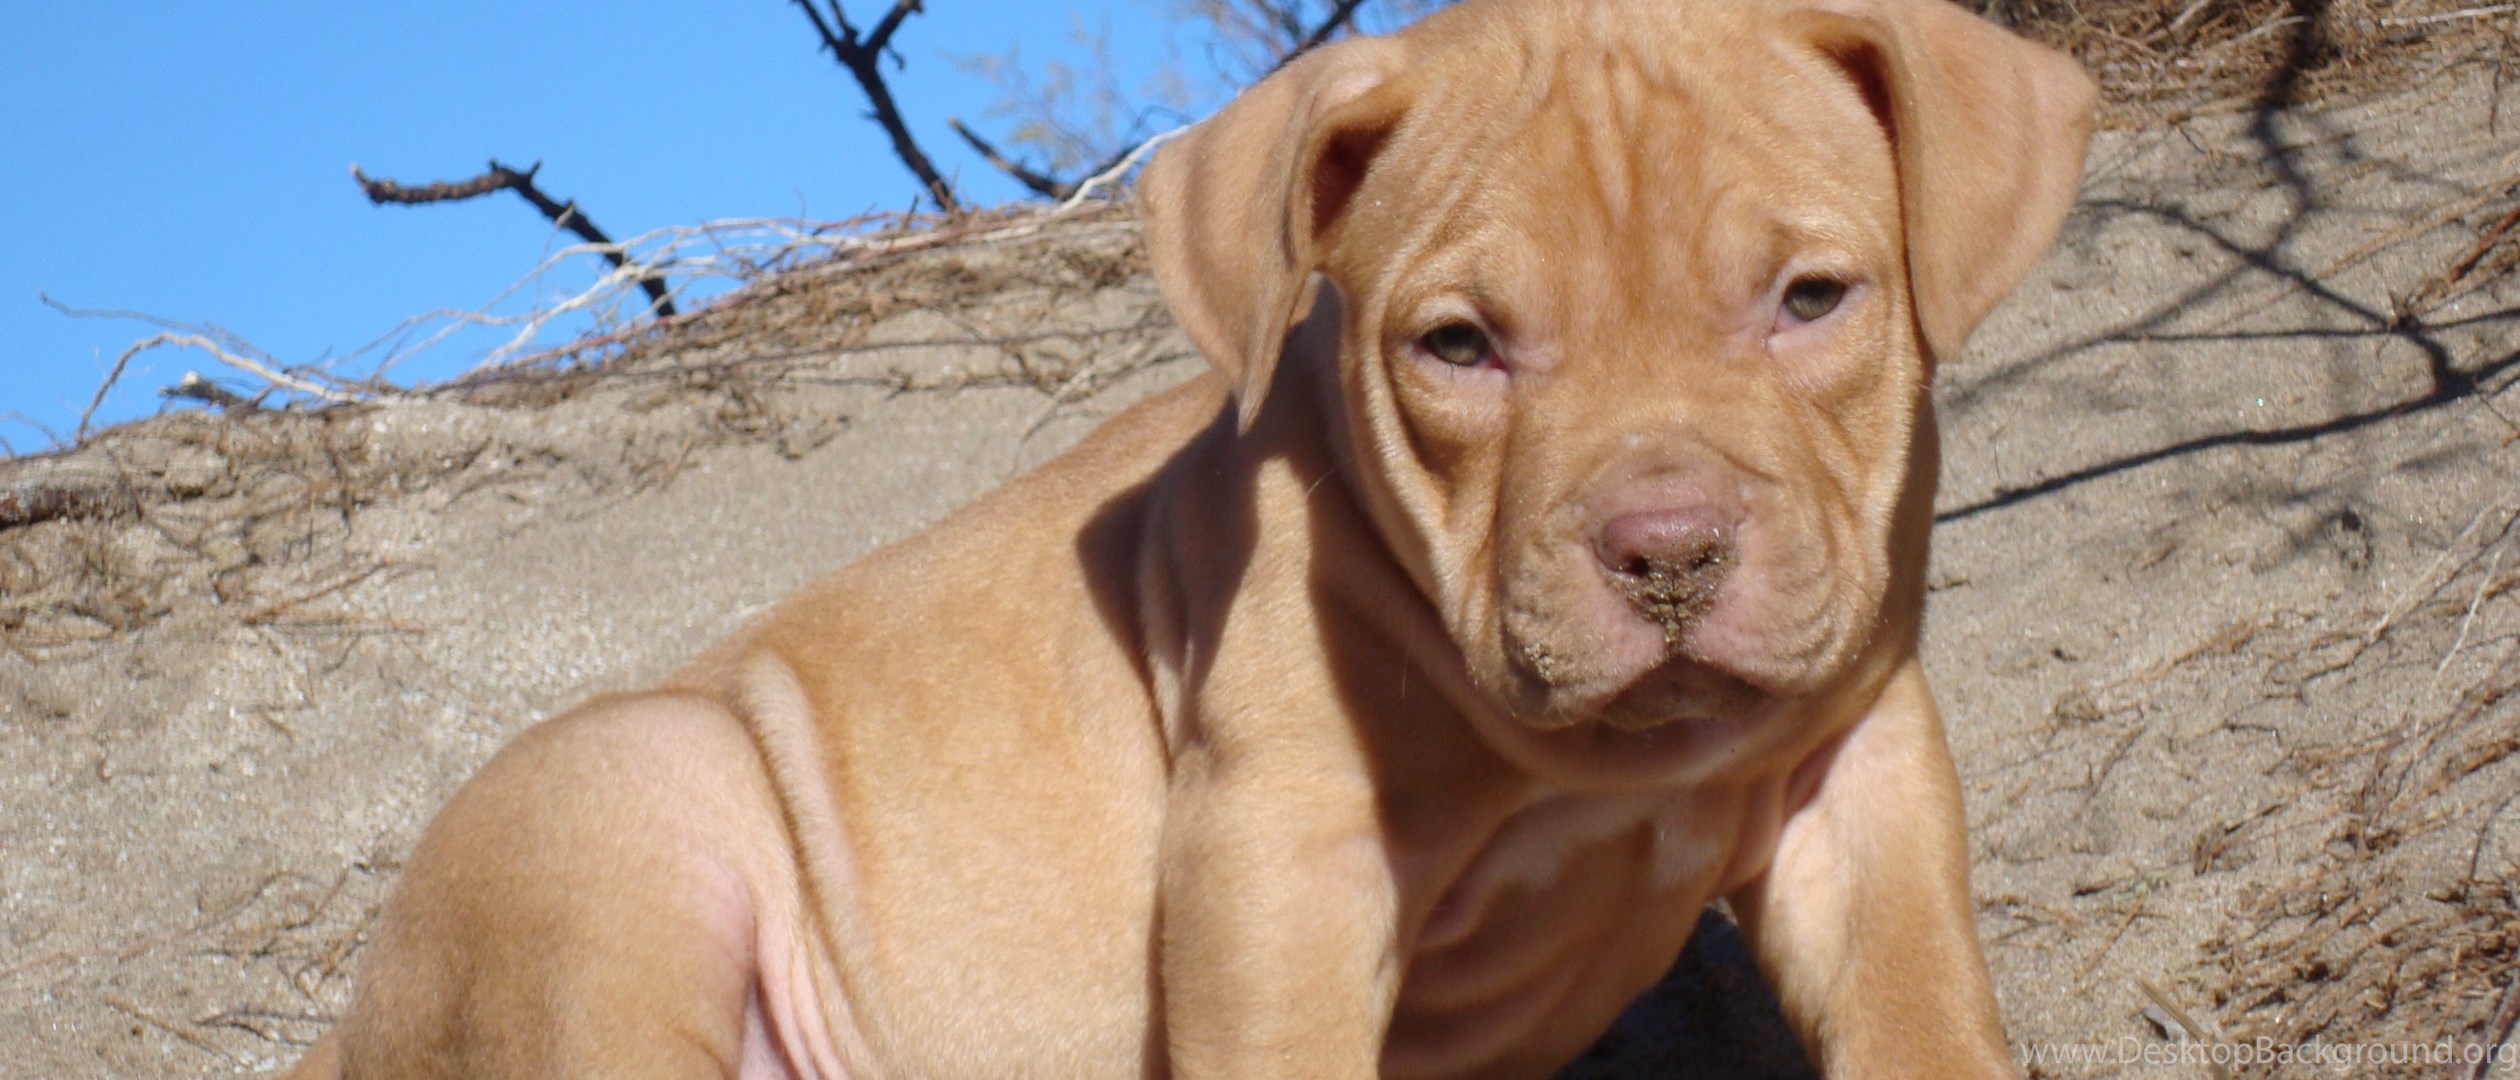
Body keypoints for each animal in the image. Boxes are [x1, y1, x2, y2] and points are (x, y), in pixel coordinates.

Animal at [283, 0, 2091, 1075]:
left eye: (1813, 299)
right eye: (1458, 347)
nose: (1666, 551)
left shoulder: (1860, 776)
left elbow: (1924, 1011)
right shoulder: (1277, 865)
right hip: (615, 837)